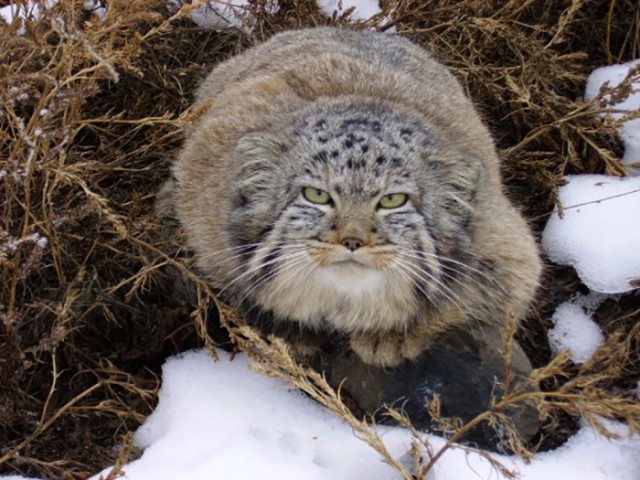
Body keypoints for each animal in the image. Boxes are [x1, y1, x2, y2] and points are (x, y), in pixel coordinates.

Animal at [162, 27, 544, 368]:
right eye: (317, 195)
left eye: (393, 200)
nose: (352, 241)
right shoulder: (206, 225)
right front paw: (289, 331)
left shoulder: (511, 255)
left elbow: (462, 298)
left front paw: (390, 334)